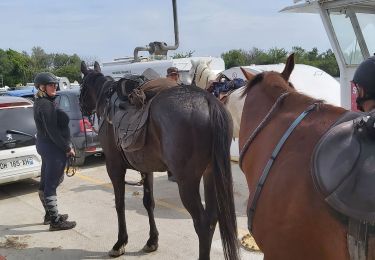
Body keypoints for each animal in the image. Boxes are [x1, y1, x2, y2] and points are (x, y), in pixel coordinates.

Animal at [79, 61, 241, 260]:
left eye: (82, 85)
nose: (81, 106)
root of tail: (207, 100)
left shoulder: (114, 166)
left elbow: (119, 203)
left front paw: (120, 243)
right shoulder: (146, 168)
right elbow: (149, 202)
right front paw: (152, 241)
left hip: (187, 182)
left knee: (202, 223)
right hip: (210, 174)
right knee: (212, 218)